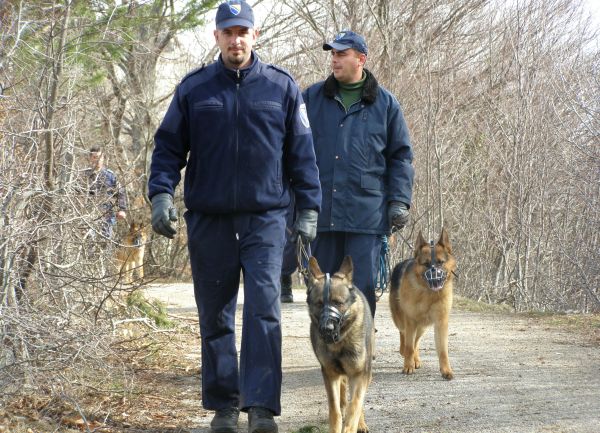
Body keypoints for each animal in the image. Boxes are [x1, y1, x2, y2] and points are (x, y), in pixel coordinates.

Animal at [308, 255, 372, 432]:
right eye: (319, 304)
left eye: (338, 303)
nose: (327, 329)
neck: (340, 342)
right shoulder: (330, 375)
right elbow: (335, 410)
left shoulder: (359, 375)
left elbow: (355, 405)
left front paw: (352, 426)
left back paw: (361, 424)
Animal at [386, 228, 458, 380]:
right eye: (426, 264)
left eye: (441, 262)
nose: (434, 273)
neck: (428, 294)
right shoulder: (410, 321)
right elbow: (408, 346)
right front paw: (408, 366)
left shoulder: (441, 323)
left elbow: (443, 351)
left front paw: (446, 370)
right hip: (403, 321)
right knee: (404, 337)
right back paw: (405, 353)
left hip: (423, 326)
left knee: (416, 342)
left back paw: (416, 359)